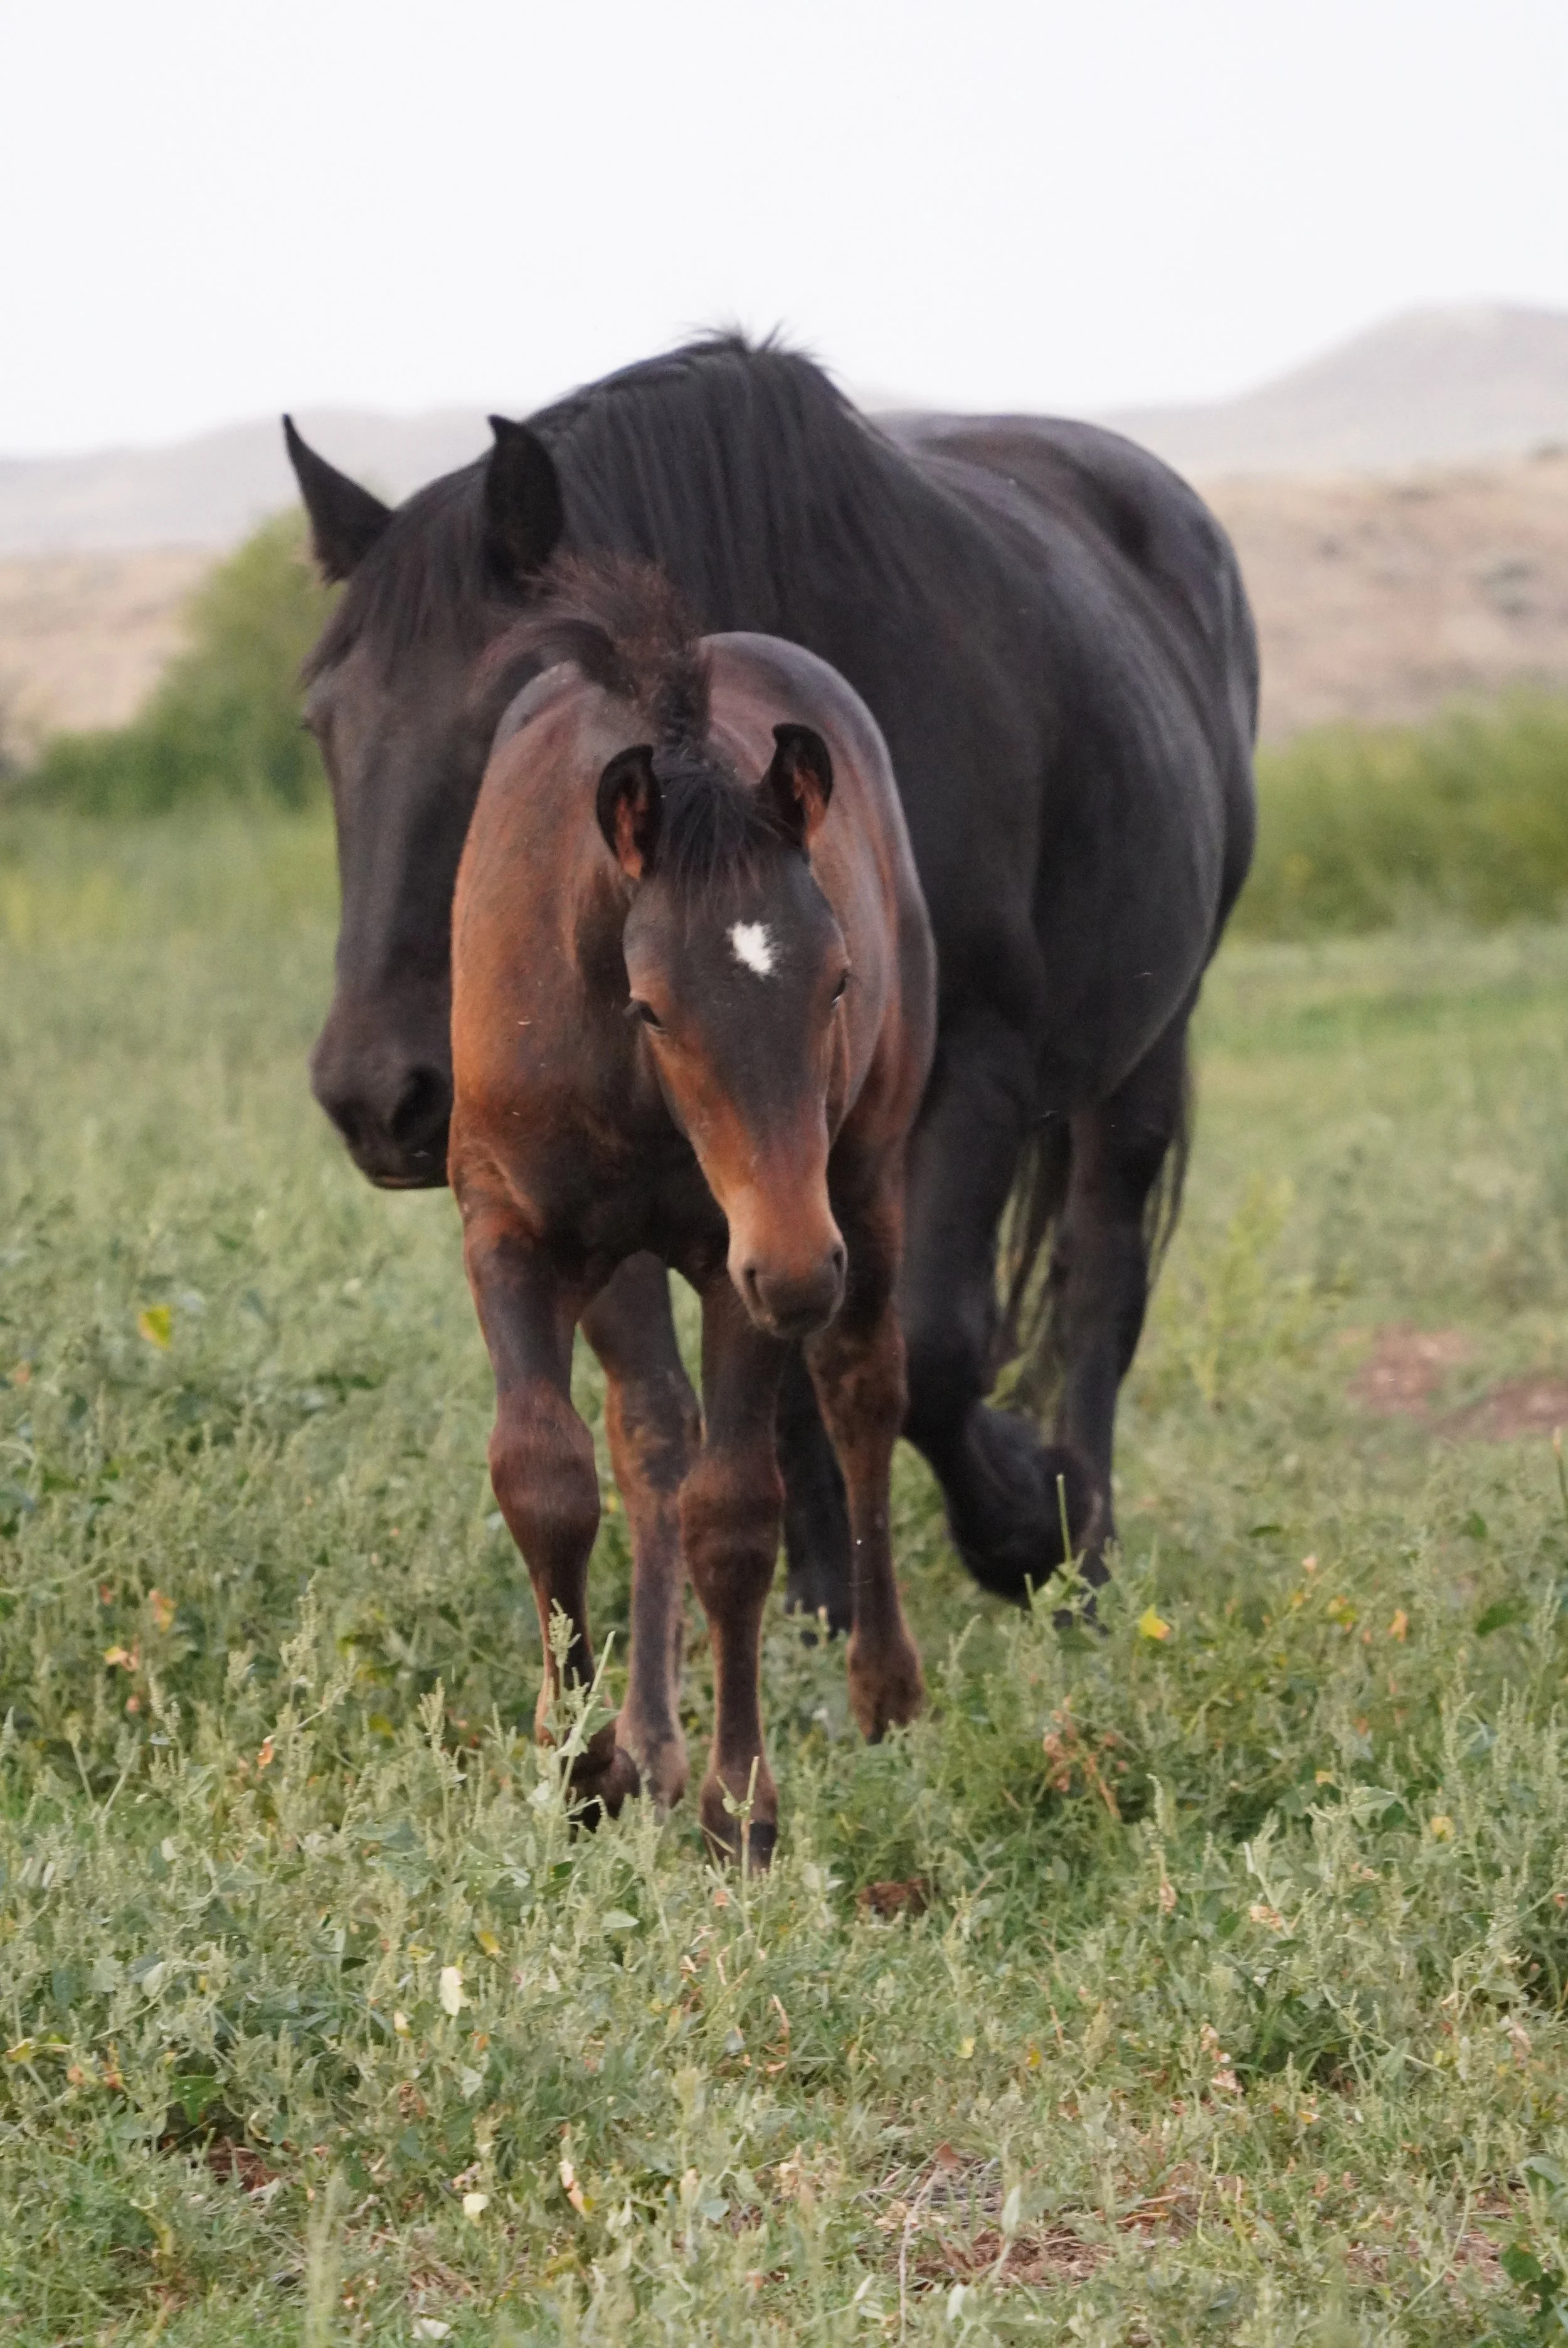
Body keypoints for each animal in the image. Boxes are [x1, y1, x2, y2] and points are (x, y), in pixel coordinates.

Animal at [287, 334, 1257, 1635]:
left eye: (509, 713)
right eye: (323, 725)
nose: (378, 1096)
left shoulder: (972, 1071)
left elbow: (935, 1347)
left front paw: (1024, 1525)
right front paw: (819, 1597)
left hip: (1146, 1042)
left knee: (1098, 1269)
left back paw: (1086, 1556)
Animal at [450, 558, 934, 1858]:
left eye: (837, 980)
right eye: (655, 1003)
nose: (801, 1268)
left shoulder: (736, 1254)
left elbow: (738, 1515)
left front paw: (742, 1808)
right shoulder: (508, 1227)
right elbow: (546, 1475)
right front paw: (576, 1768)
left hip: (860, 1181)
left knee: (862, 1390)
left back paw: (885, 1692)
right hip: (632, 1255)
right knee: (648, 1429)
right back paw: (633, 1737)